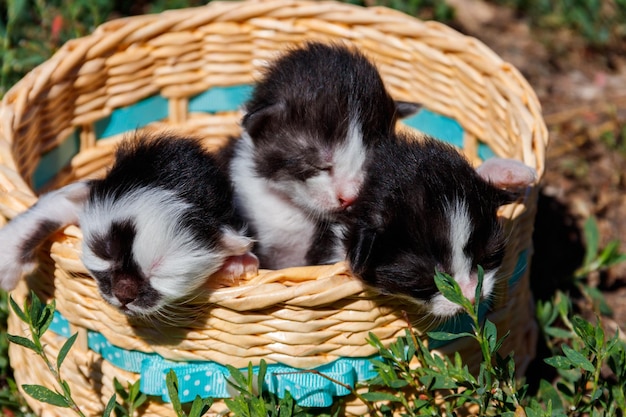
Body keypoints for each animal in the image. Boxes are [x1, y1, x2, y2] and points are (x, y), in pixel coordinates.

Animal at [0, 133, 256, 316]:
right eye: (104, 254)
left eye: (161, 272)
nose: (123, 294)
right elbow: (50, 207)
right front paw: (8, 257)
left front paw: (239, 262)